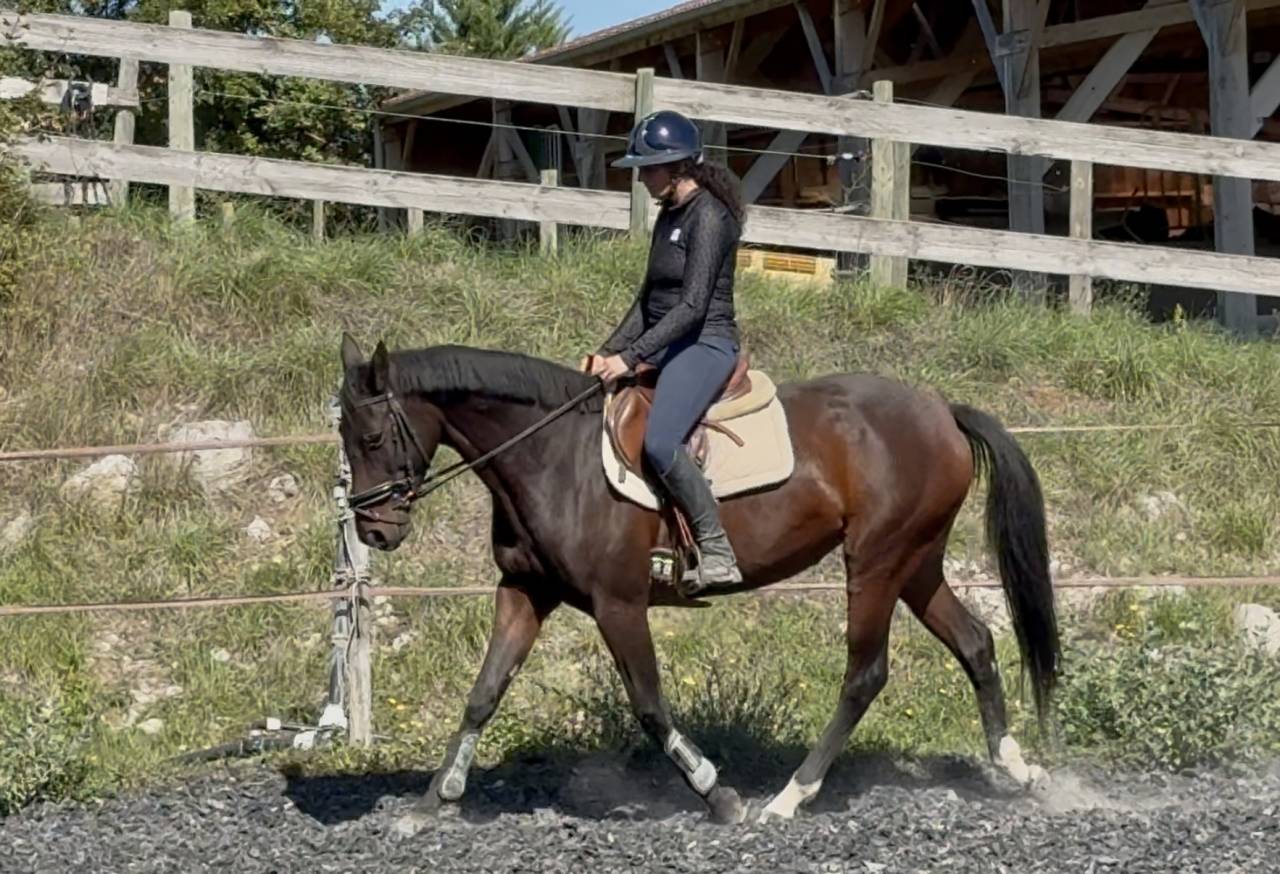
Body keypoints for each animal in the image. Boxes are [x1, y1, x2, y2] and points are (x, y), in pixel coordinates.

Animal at [335, 335, 1060, 829]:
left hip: (877, 561)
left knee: (865, 675)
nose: (374, 530)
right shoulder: (524, 593)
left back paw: (788, 797)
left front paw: (720, 793)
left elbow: (650, 705)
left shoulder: (618, 604)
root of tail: (939, 410)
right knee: (975, 643)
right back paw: (1018, 768)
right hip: (917, 562)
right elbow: (483, 694)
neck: (552, 458)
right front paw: (432, 800)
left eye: (371, 436)